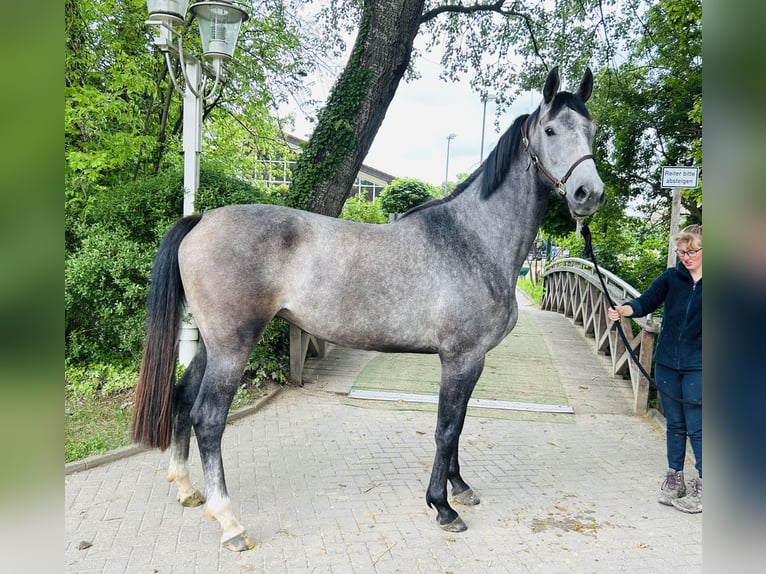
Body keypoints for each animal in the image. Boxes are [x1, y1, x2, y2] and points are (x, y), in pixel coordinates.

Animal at [131, 66, 605, 552]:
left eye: (592, 131)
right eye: (550, 130)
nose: (588, 194)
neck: (470, 239)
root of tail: (201, 220)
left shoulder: (470, 362)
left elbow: (458, 425)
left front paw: (459, 488)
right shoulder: (461, 358)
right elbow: (445, 428)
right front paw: (442, 506)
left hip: (212, 344)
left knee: (183, 399)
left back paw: (187, 489)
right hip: (232, 347)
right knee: (208, 418)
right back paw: (229, 521)